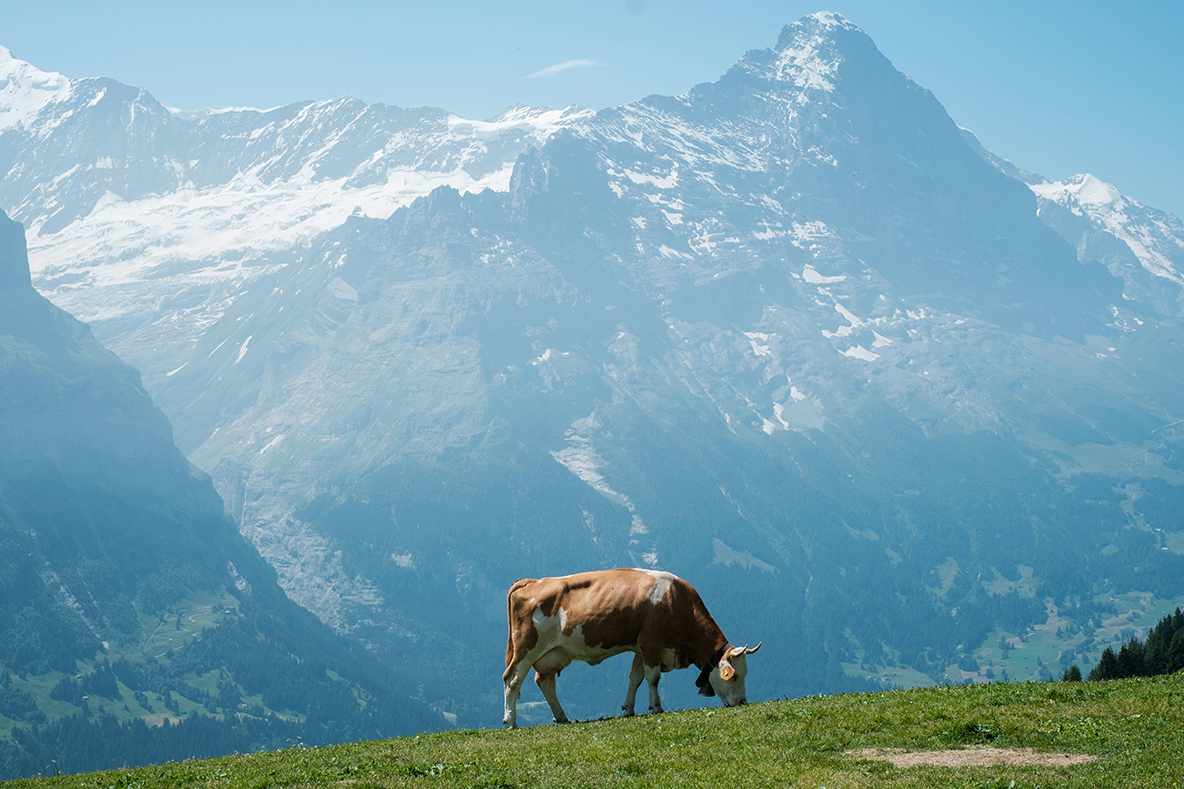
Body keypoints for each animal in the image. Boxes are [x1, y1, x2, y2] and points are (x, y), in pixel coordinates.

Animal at [502, 568, 760, 728]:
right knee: (512, 679)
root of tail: (532, 582)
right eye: (734, 676)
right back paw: (511, 721)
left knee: (544, 681)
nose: (742, 702)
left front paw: (628, 709)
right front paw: (656, 707)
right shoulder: (652, 643)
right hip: (526, 648)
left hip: (554, 652)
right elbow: (653, 678)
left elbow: (635, 678)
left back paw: (561, 717)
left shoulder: (639, 647)